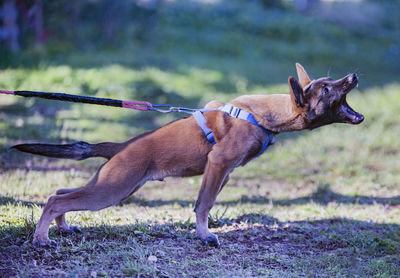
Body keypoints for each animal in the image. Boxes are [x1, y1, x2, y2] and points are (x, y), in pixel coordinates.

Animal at [12, 64, 362, 247]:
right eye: (326, 89)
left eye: (330, 82)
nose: (354, 77)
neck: (264, 115)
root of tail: (123, 145)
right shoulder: (218, 164)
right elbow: (203, 204)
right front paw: (205, 235)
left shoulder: (223, 173)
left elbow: (206, 202)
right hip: (112, 190)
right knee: (56, 199)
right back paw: (42, 239)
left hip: (111, 185)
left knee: (60, 192)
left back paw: (62, 228)